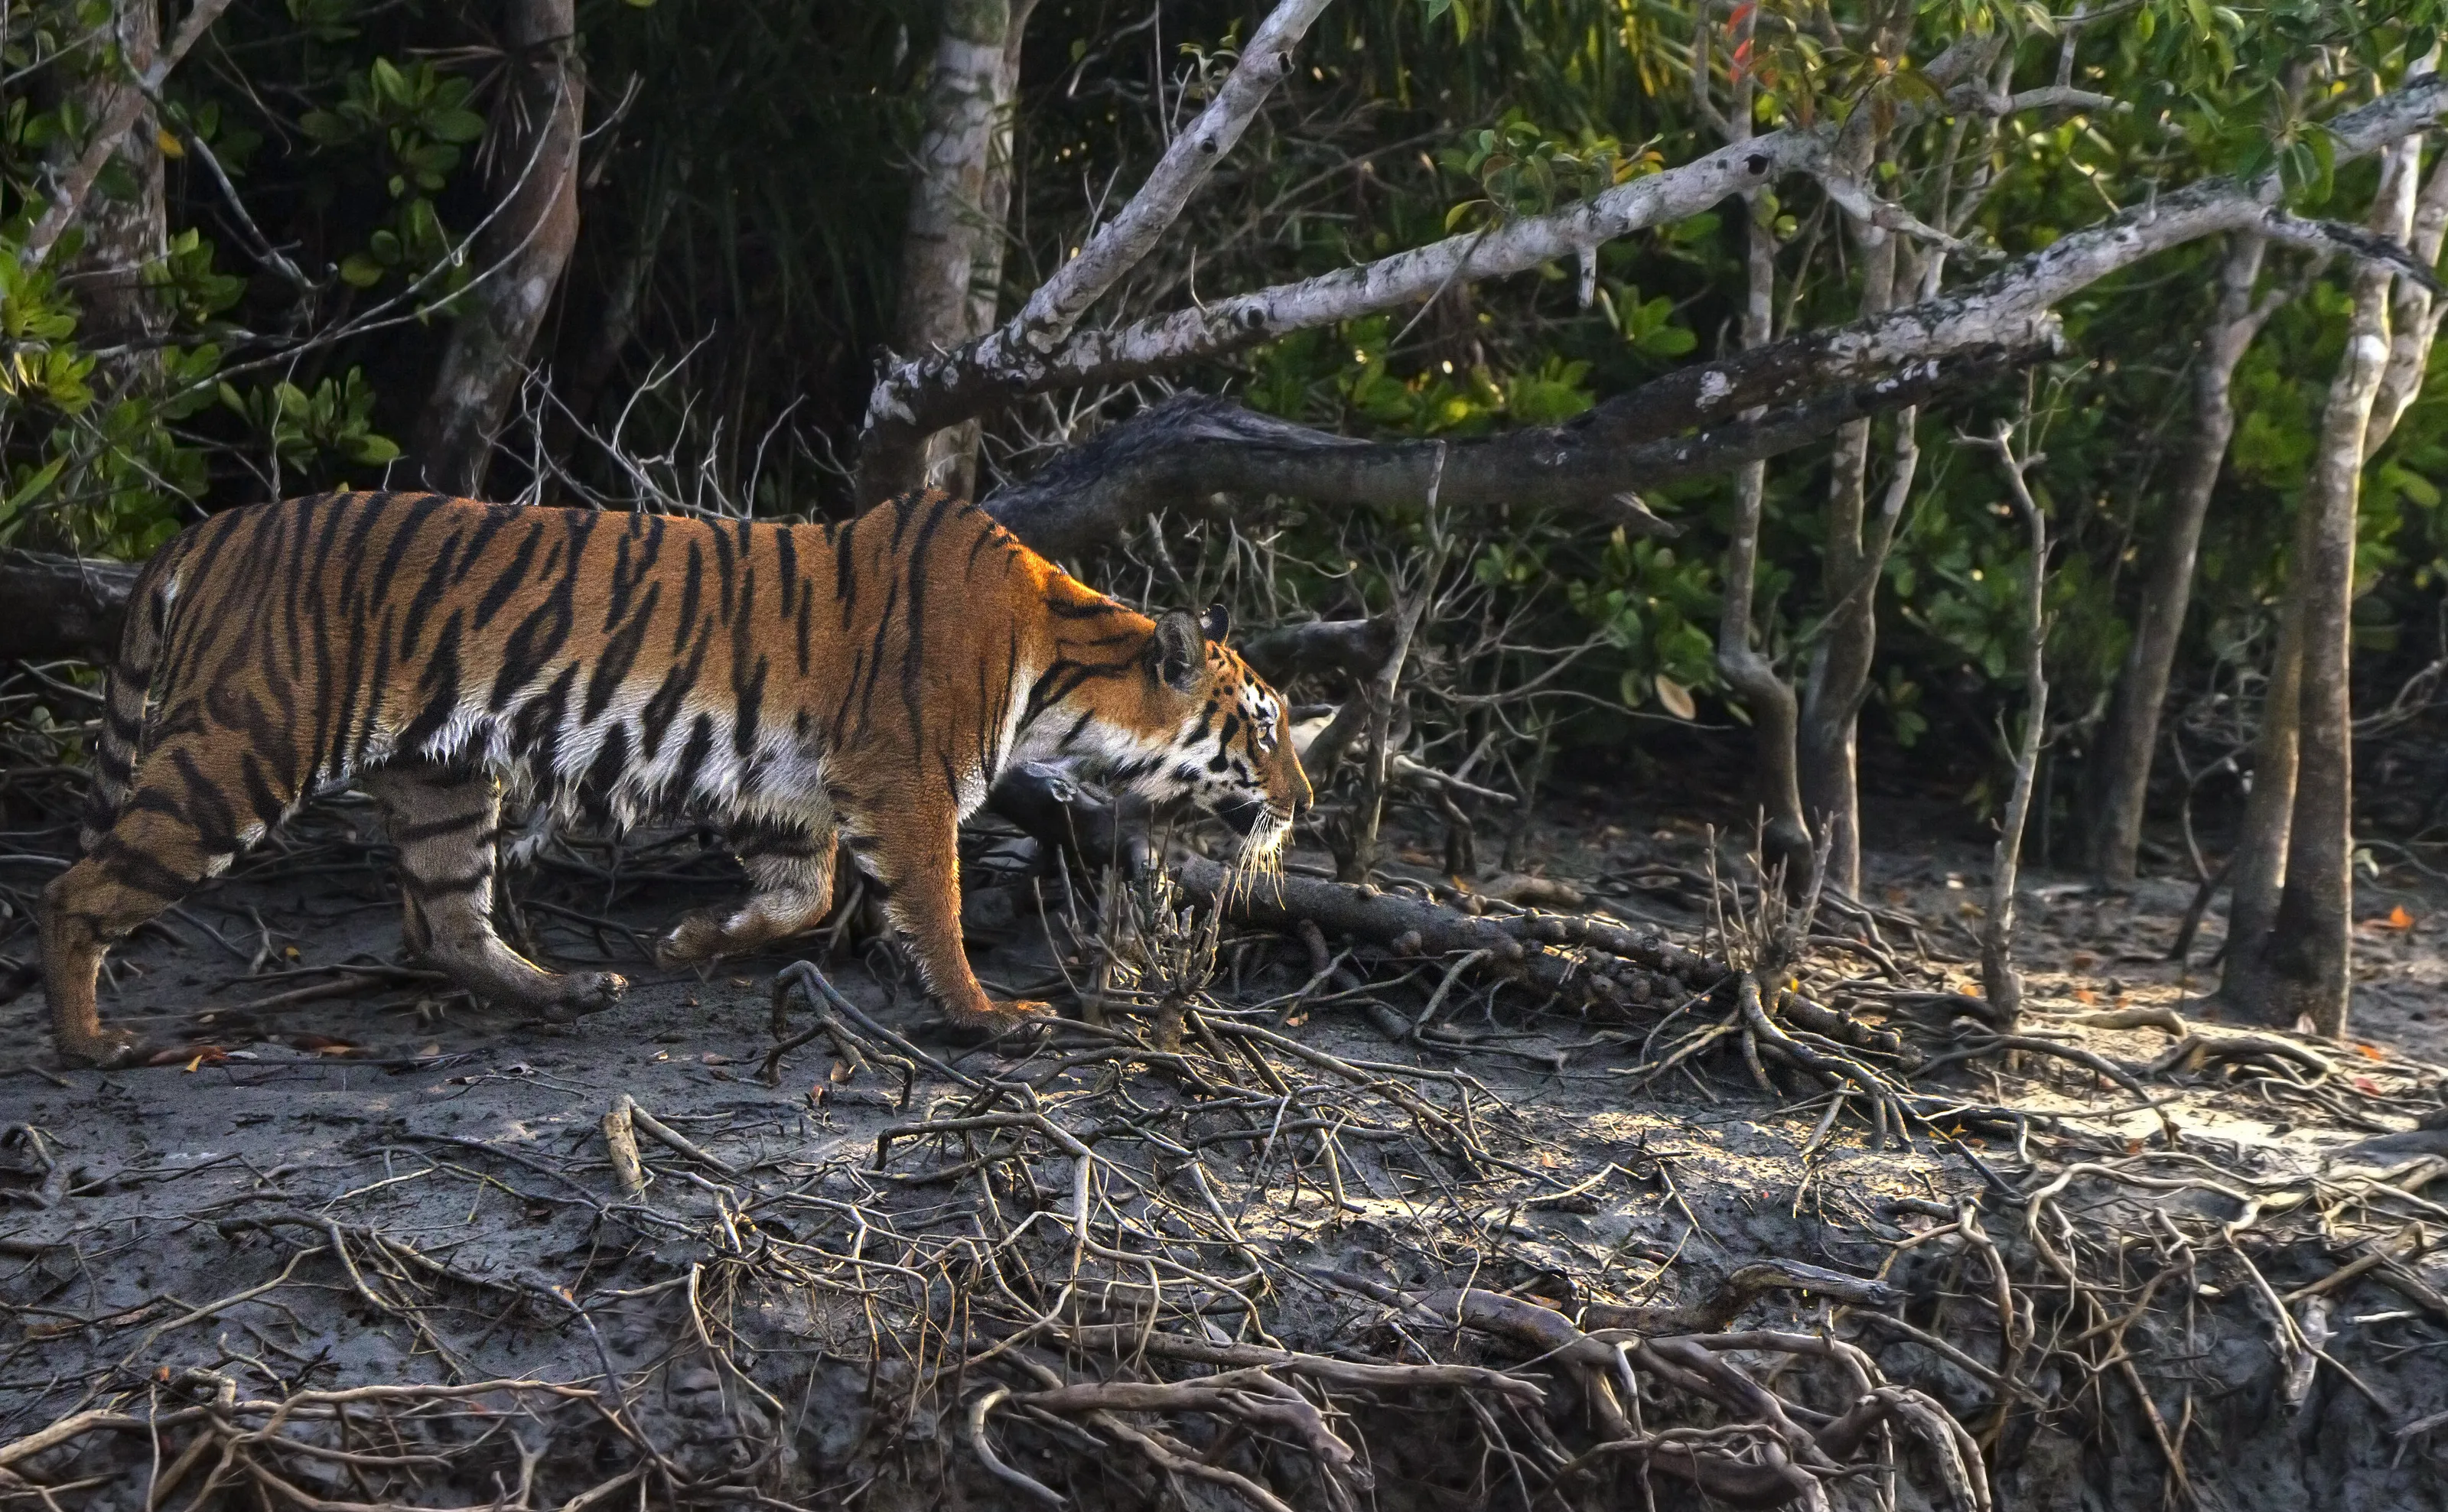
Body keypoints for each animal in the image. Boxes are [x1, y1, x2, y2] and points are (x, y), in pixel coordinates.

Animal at [39, 487, 1312, 1067]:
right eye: (1265, 728)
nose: (1303, 804)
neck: (1069, 671)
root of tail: (211, 528)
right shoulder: (901, 780)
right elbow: (937, 909)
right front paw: (990, 1015)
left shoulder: (784, 786)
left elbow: (802, 891)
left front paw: (693, 943)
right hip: (240, 749)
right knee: (75, 890)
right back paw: (90, 1042)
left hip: (439, 776)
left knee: (447, 918)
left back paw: (565, 989)